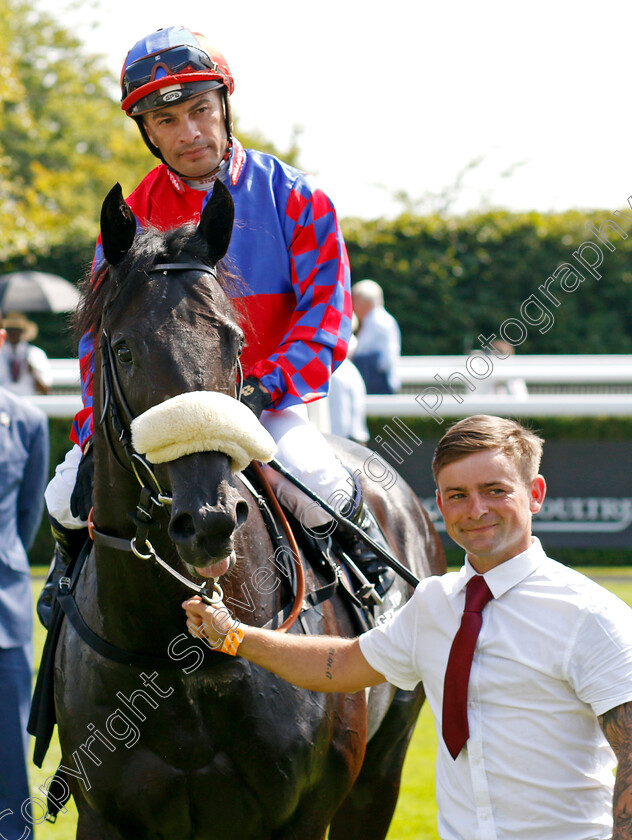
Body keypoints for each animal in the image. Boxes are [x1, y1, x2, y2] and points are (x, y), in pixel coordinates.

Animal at [51, 184, 444, 840]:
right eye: (124, 349)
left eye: (233, 341)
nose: (209, 518)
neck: (180, 659)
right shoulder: (104, 815)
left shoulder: (304, 813)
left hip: (382, 773)